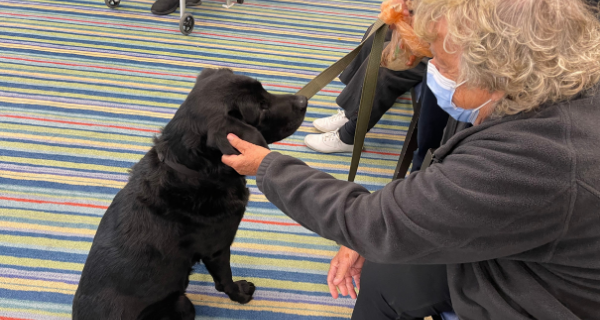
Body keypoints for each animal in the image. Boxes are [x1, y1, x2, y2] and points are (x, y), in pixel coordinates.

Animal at [74, 69, 310, 318]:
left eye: (264, 90)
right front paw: (240, 294)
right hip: (182, 304)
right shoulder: (217, 248)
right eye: (262, 107)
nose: (303, 101)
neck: (194, 172)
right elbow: (225, 280)